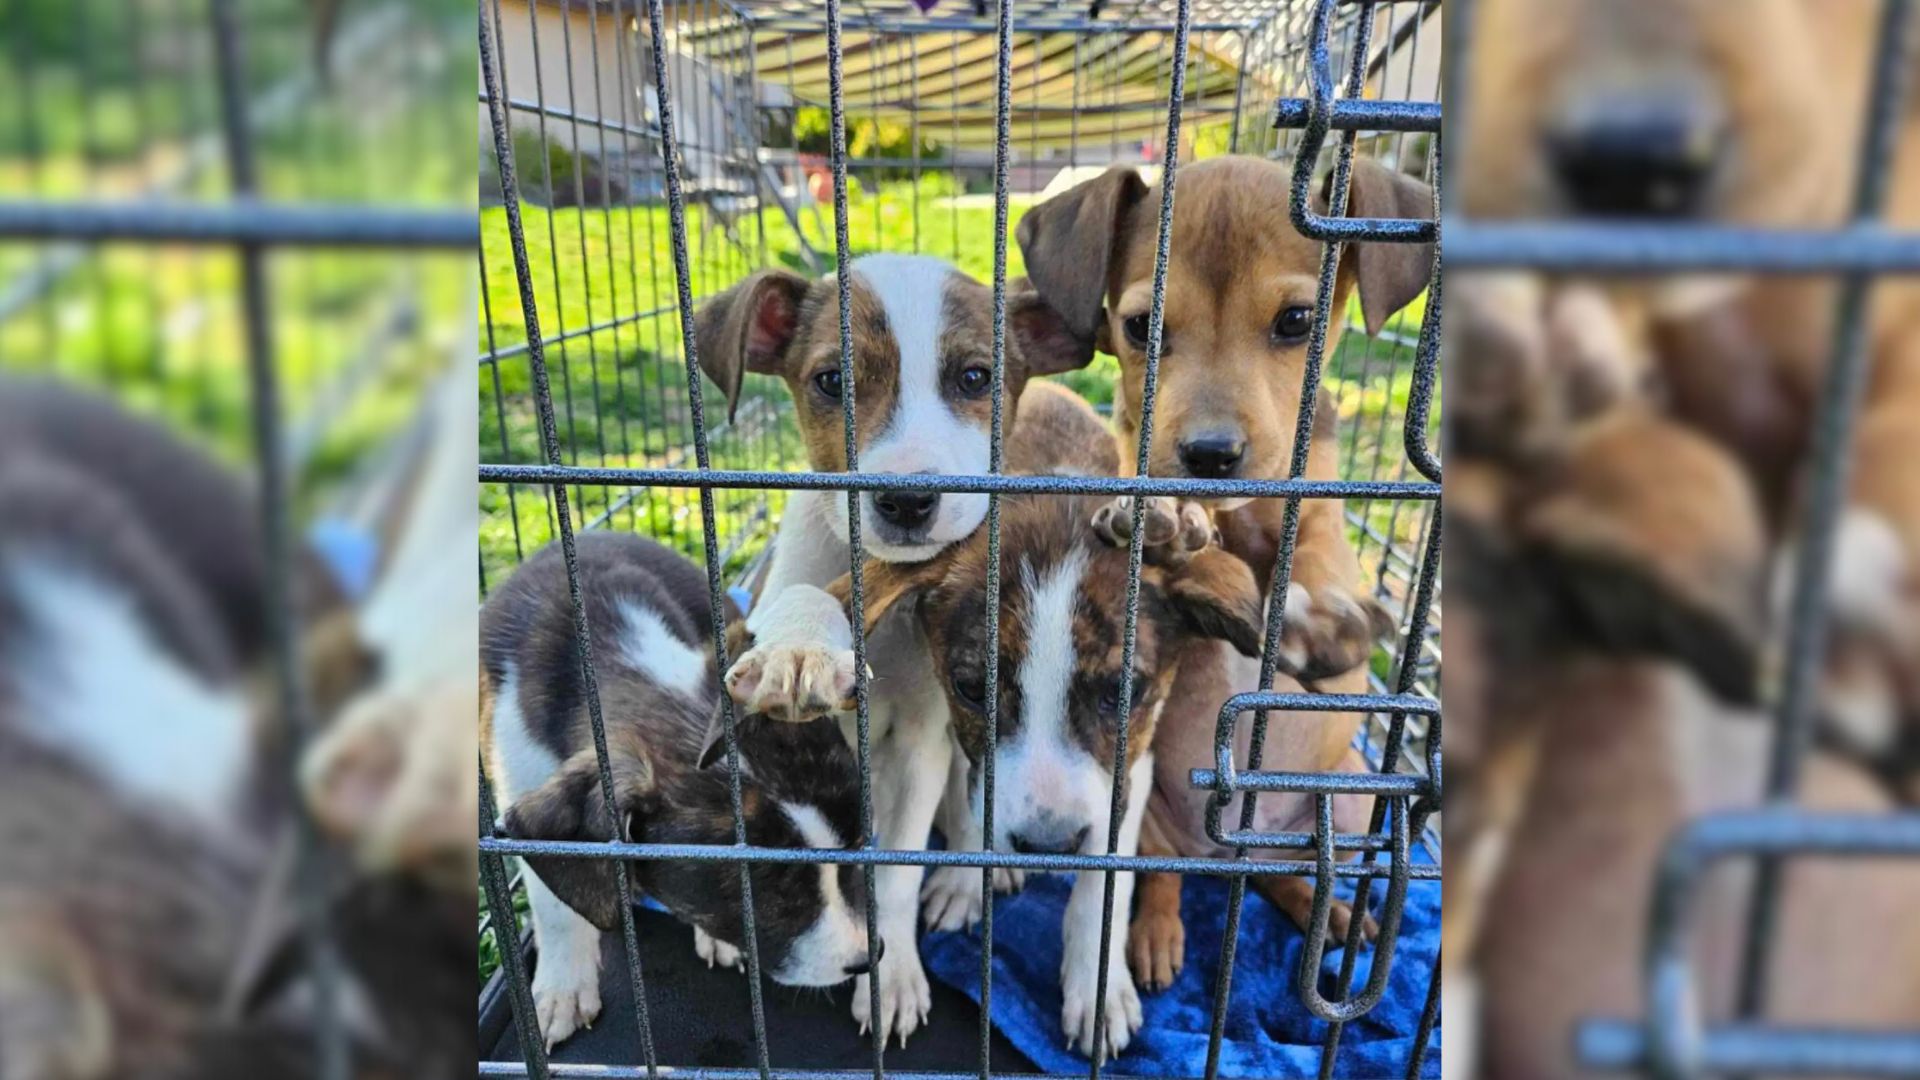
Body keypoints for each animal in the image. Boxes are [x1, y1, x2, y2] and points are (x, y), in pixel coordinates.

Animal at [483, 534, 875, 1045]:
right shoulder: (521, 777)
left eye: (856, 844)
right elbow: (554, 903)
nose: (870, 958)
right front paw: (562, 988)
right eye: (767, 887)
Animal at [729, 382, 1259, 1053]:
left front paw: (1098, 986)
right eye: (970, 688)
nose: (1048, 847)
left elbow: (1105, 884)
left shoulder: (1131, 768)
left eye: (1126, 691)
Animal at [1021, 155, 1443, 972]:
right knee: (1165, 879)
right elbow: (1188, 547)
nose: (1210, 455)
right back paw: (1157, 934)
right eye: (1141, 327)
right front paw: (1168, 520)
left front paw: (1320, 624)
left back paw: (1325, 910)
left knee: (1291, 874)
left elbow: (1314, 568)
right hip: (1148, 805)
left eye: (1298, 322)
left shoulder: (1322, 528)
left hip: (1345, 798)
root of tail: (1227, 853)